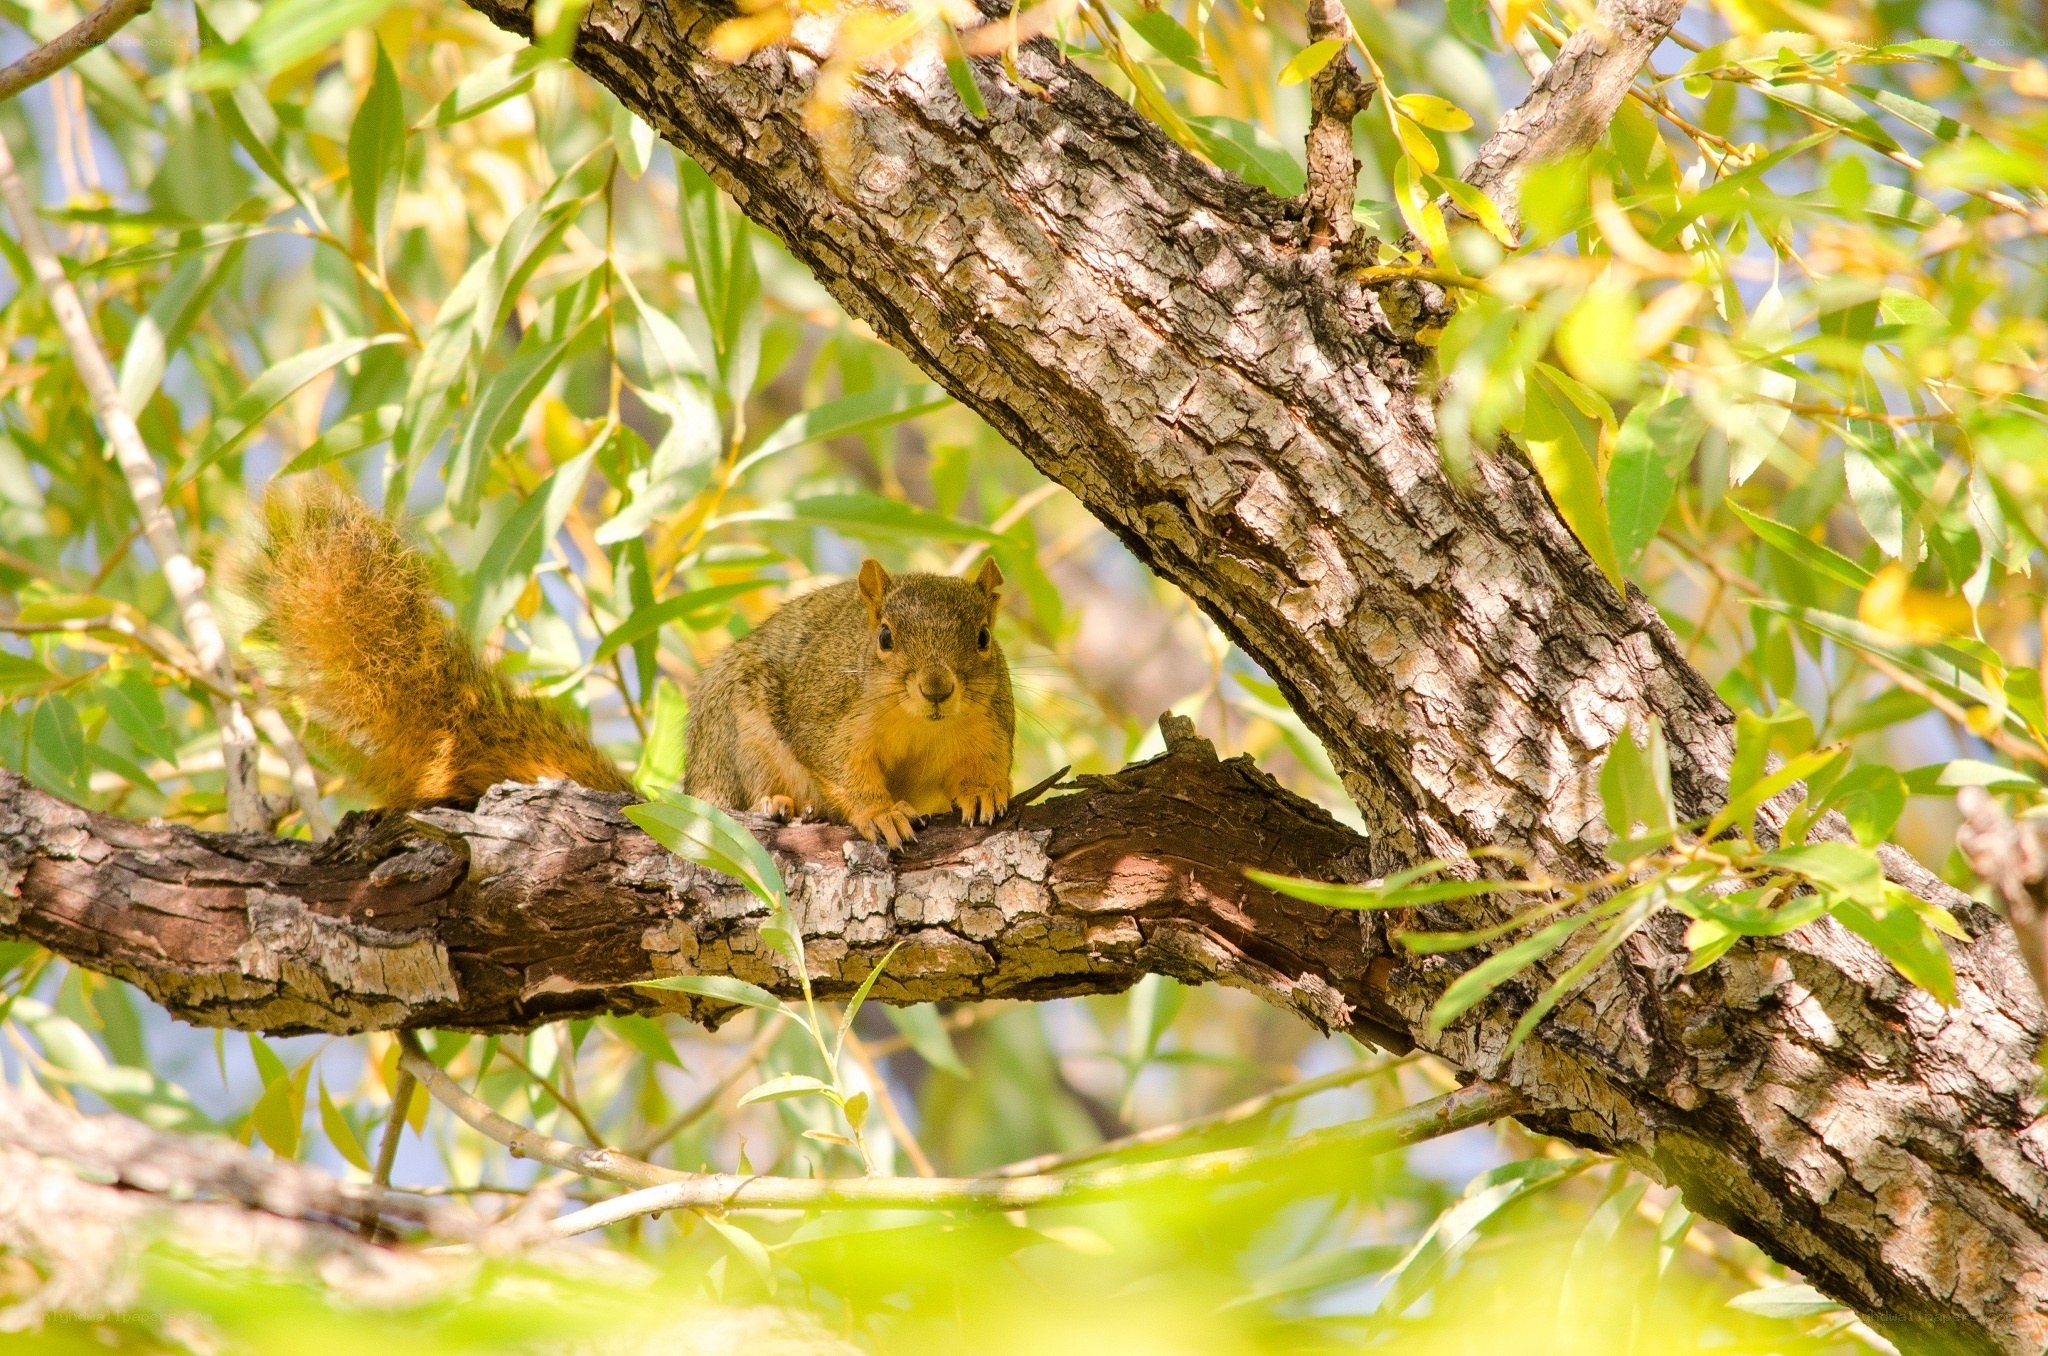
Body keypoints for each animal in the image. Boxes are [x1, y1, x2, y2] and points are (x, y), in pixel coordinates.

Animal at [241, 482, 1013, 847]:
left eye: (983, 638)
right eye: (883, 638)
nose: (937, 688)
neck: (920, 727)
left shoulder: (988, 723)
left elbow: (984, 767)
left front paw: (982, 793)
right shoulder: (831, 714)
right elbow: (845, 770)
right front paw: (882, 814)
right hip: (732, 733)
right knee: (739, 792)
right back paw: (776, 803)